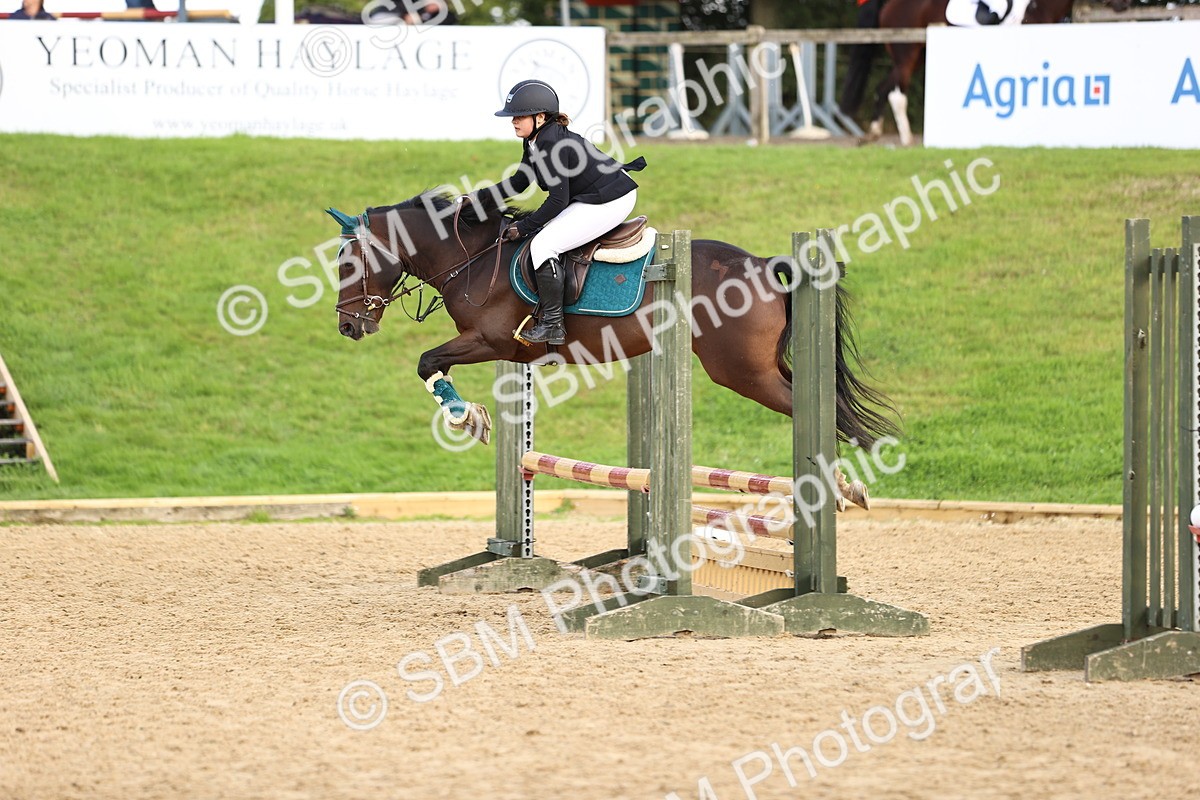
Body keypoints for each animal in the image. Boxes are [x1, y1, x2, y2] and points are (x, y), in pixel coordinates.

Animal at [329, 190, 897, 507]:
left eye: (348, 263)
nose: (349, 326)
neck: (471, 257)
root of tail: (761, 262)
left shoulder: (489, 341)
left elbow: (427, 361)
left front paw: (467, 418)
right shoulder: (504, 353)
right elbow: (433, 365)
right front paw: (473, 417)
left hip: (742, 372)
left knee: (820, 407)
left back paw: (843, 485)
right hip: (759, 367)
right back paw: (846, 485)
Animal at [839, 0, 1131, 146]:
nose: (1125, 4)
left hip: (918, 54)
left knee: (884, 88)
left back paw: (877, 132)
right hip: (907, 52)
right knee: (895, 92)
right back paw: (905, 136)